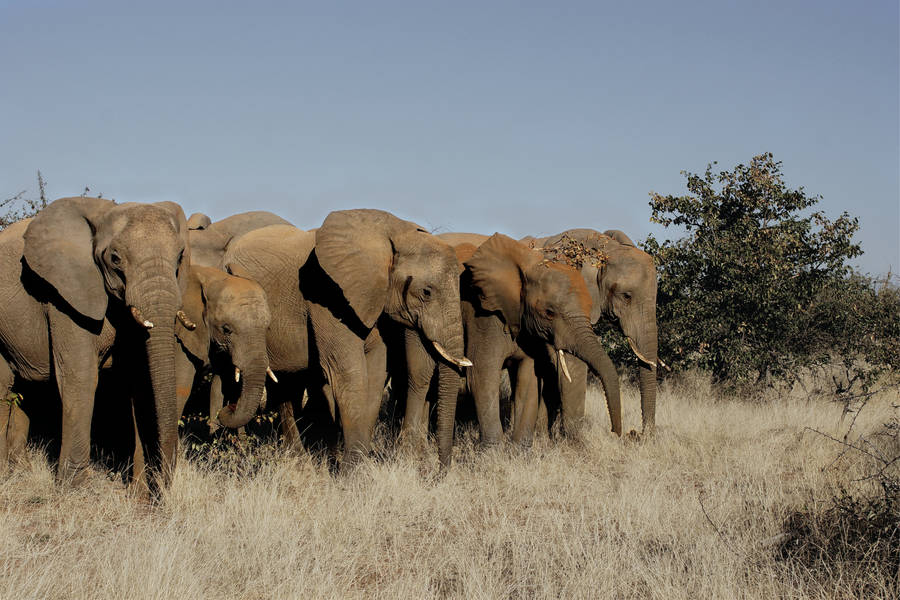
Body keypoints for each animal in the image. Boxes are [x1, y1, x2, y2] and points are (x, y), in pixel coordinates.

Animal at [0, 197, 191, 492]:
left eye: (180, 256)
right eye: (115, 259)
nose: (163, 487)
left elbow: (139, 379)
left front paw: (138, 493)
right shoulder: (65, 296)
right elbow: (81, 377)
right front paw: (74, 488)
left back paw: (19, 470)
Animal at [219, 209, 469, 468]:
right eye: (426, 292)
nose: (439, 470)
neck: (392, 232)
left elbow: (375, 372)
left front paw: (360, 465)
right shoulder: (326, 295)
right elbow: (348, 371)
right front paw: (353, 470)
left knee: (288, 386)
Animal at [400, 232, 622, 449]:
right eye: (549, 313)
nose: (616, 433)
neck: (529, 267)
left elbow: (529, 380)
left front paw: (519, 451)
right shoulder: (483, 316)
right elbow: (482, 376)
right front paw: (492, 452)